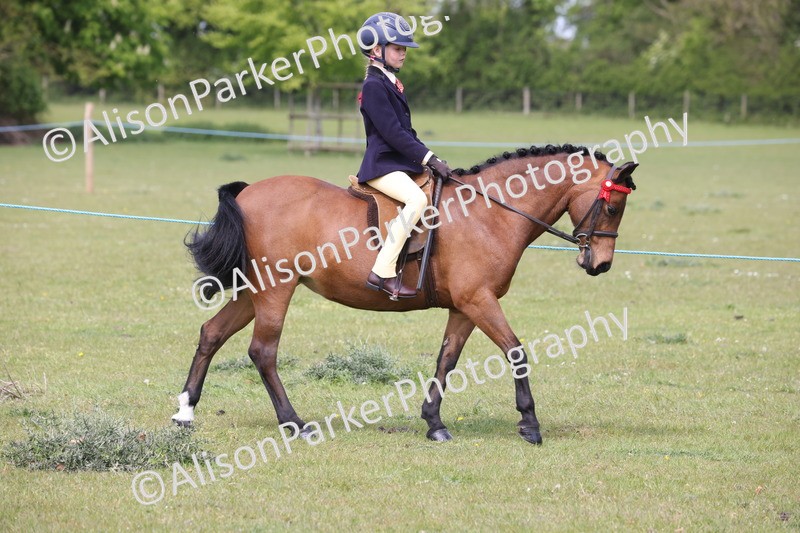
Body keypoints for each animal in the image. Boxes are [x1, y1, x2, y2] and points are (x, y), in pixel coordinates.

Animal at [172, 144, 638, 445]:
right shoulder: (480, 300)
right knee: (263, 352)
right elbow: (516, 350)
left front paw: (434, 422)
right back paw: (294, 423)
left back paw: (184, 413)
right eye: (613, 208)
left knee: (212, 333)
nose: (600, 264)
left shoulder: (465, 307)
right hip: (275, 290)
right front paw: (529, 424)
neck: (489, 212)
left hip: (254, 290)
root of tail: (249, 191)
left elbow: (447, 360)